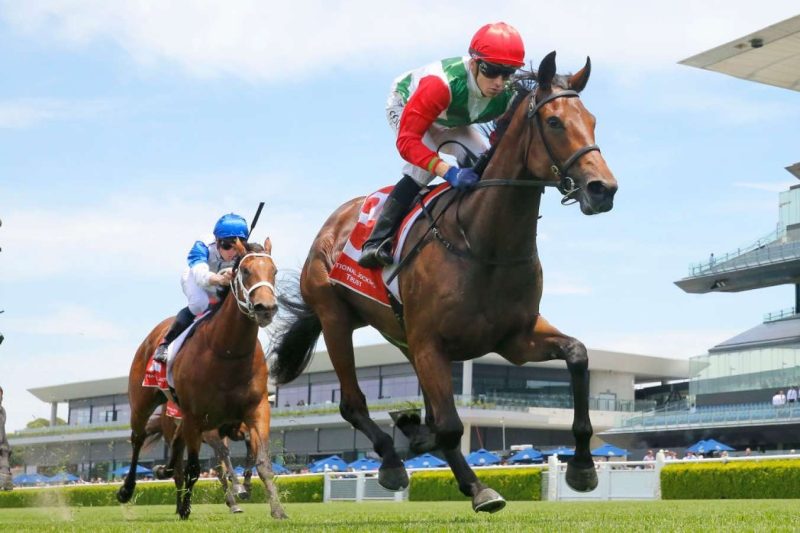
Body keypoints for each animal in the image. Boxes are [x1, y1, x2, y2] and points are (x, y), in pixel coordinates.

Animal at [117, 238, 287, 520]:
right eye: (245, 271)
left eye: (274, 271)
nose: (266, 308)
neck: (228, 352)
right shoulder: (198, 418)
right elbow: (197, 467)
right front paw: (191, 506)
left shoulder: (256, 409)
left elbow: (261, 461)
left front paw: (277, 509)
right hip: (143, 403)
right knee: (139, 438)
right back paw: (128, 490)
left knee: (176, 457)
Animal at [269, 51, 617, 513]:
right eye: (555, 121)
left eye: (593, 120)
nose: (603, 189)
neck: (484, 244)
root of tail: (333, 223)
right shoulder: (431, 343)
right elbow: (450, 426)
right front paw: (456, 470)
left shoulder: (514, 339)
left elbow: (577, 355)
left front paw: (582, 467)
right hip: (335, 317)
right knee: (352, 404)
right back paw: (395, 463)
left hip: (400, 335)